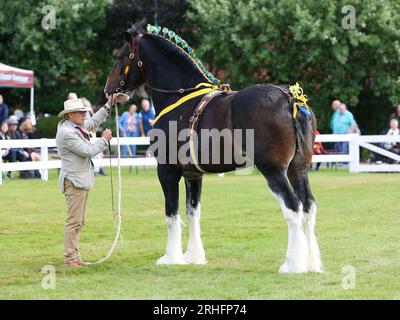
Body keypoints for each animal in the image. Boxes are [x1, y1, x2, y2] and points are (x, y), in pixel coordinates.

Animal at [104, 20, 324, 272]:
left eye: (120, 56)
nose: (108, 89)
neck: (180, 99)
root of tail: (290, 99)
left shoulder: (167, 171)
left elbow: (171, 214)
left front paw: (171, 257)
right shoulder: (193, 174)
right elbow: (192, 213)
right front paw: (193, 256)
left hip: (274, 170)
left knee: (293, 207)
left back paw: (292, 265)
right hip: (298, 168)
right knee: (308, 207)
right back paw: (311, 264)